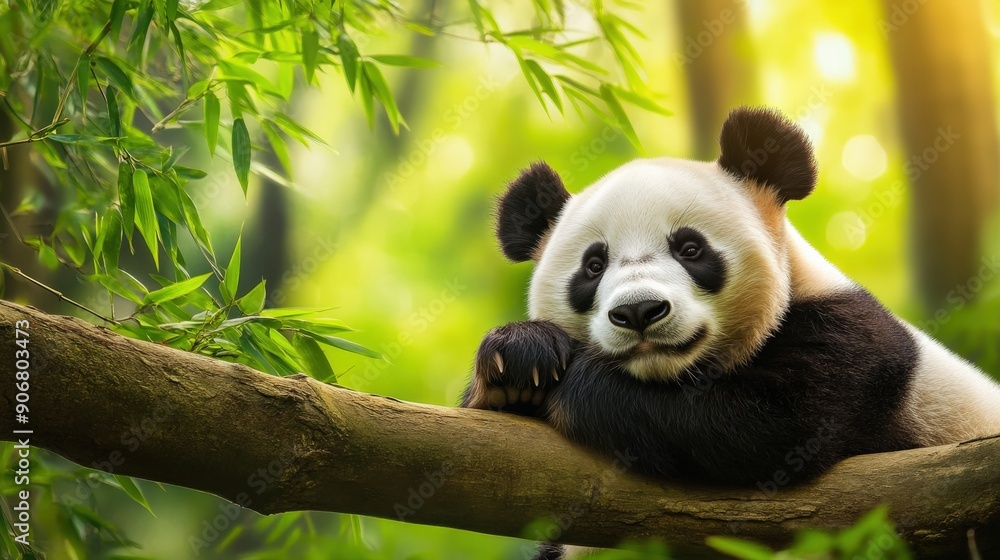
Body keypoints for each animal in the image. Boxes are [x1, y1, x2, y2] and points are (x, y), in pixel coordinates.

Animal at [460, 107, 1000, 557]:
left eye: (690, 249)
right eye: (593, 266)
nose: (639, 311)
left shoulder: (853, 341)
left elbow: (766, 424)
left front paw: (568, 385)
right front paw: (519, 358)